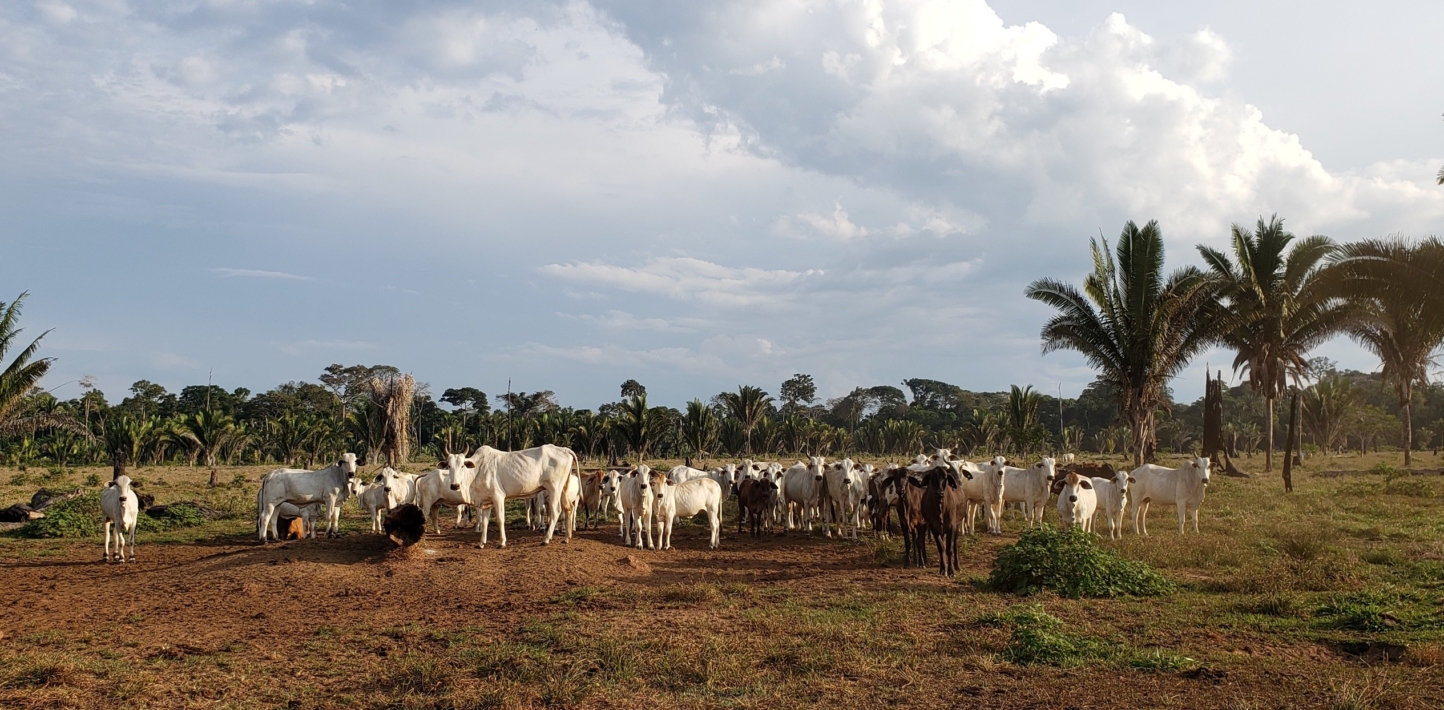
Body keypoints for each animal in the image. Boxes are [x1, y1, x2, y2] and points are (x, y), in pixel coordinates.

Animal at [441, 444, 577, 548]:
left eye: (462, 465)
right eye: (448, 466)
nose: (454, 485)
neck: (478, 469)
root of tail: (565, 449)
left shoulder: (498, 497)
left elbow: (500, 520)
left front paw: (502, 542)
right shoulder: (486, 502)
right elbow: (484, 522)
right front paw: (481, 543)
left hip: (554, 488)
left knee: (556, 511)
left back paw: (546, 539)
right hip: (563, 488)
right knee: (569, 508)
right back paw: (566, 537)